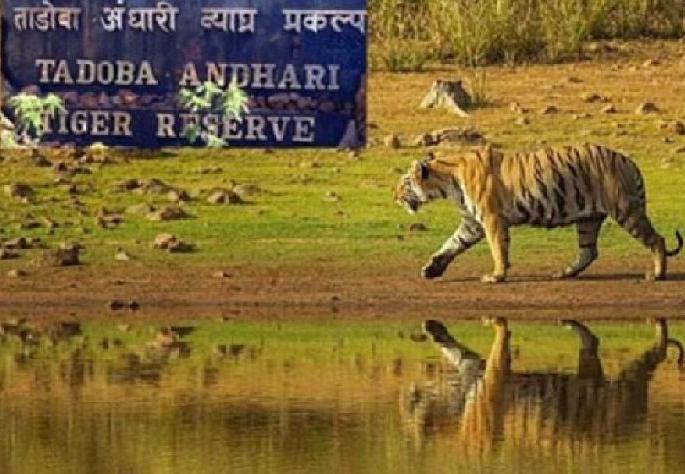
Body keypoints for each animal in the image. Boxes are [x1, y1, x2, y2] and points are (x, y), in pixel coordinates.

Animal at [394, 144, 683, 283]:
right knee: (589, 252)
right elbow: (451, 244)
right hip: (588, 219)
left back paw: (657, 275)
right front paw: (432, 268)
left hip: (625, 210)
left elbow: (498, 249)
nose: (394, 197)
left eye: (404, 183)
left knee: (657, 240)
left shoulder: (491, 219)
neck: (448, 181)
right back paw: (564, 274)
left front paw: (497, 276)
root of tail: (629, 161)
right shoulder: (471, 223)